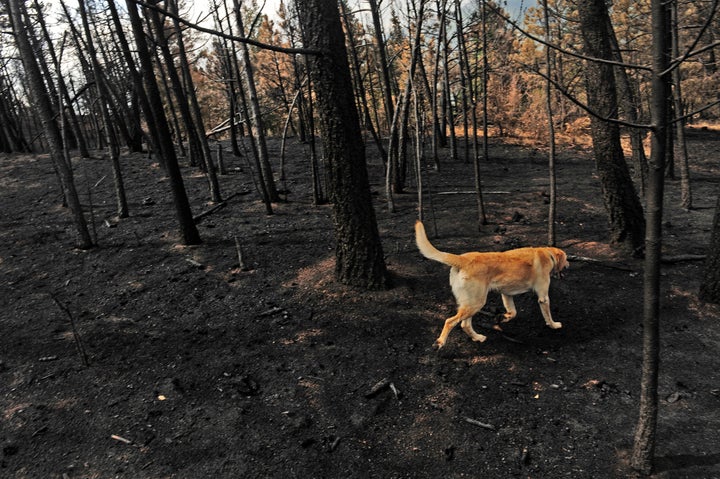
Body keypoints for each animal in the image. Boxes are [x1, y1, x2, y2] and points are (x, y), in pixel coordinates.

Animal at [416, 221, 568, 348]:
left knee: (465, 324)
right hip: (476, 303)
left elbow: (513, 312)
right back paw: (439, 342)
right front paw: (554, 325)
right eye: (566, 259)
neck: (548, 254)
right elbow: (547, 315)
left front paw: (503, 318)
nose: (568, 264)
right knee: (450, 321)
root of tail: (462, 259)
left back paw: (478, 338)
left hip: (471, 304)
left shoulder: (506, 294)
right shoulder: (543, 298)